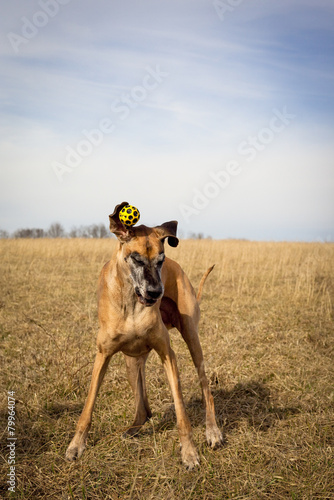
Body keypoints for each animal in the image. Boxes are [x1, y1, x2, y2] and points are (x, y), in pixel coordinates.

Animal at [65, 201, 222, 466]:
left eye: (161, 260)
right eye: (136, 260)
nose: (156, 293)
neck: (132, 303)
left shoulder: (168, 354)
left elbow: (181, 411)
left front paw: (189, 452)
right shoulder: (102, 355)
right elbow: (88, 406)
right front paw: (76, 445)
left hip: (192, 338)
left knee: (206, 391)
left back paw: (213, 431)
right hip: (132, 362)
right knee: (143, 408)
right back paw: (134, 428)